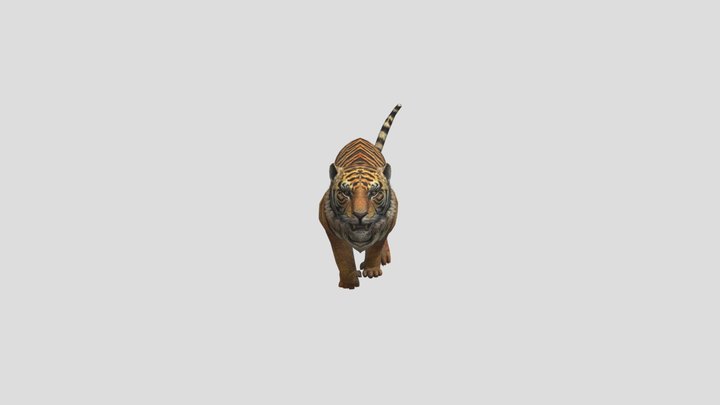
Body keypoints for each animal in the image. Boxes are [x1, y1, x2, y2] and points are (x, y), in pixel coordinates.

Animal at [319, 104, 402, 289]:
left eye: (374, 193)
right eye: (345, 192)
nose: (359, 215)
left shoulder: (387, 222)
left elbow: (376, 246)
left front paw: (372, 270)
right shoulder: (330, 227)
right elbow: (343, 256)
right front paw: (349, 282)